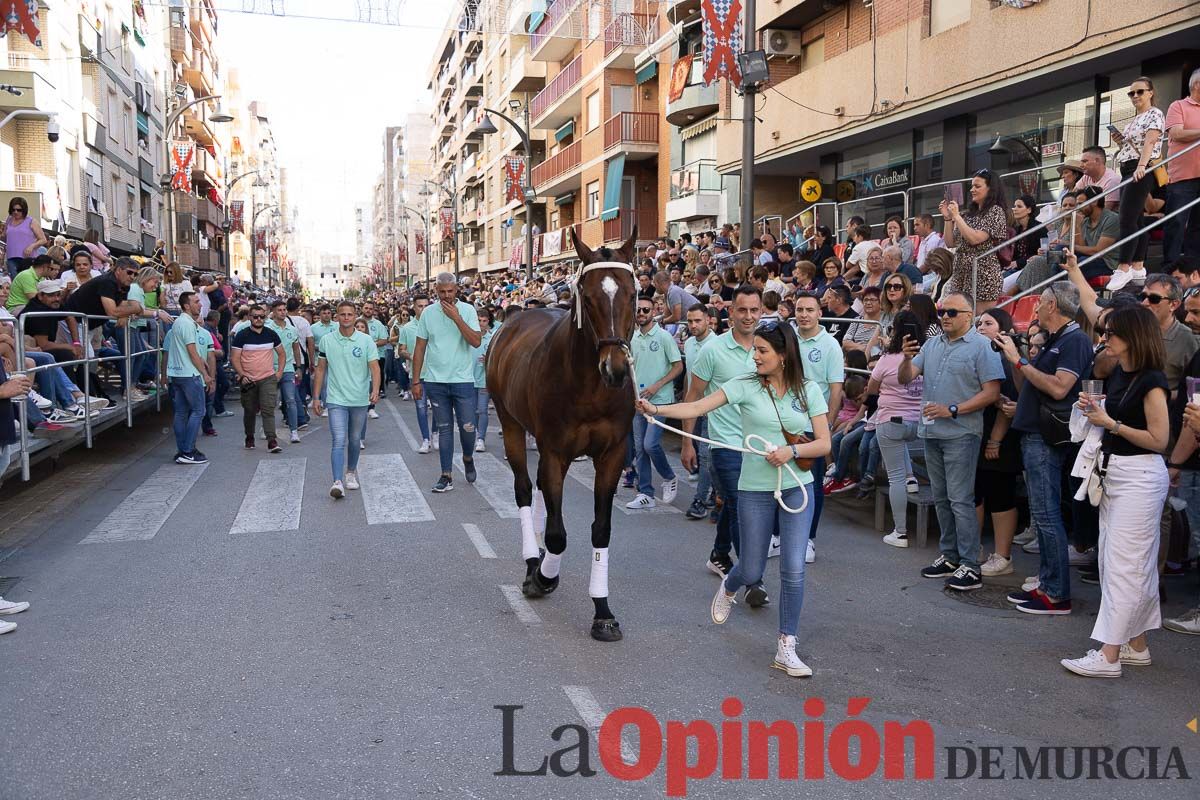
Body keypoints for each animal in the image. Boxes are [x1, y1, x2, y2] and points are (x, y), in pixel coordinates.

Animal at [484, 227, 643, 642]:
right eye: (587, 297)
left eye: (632, 294)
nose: (615, 368)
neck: (589, 386)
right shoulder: (554, 450)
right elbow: (557, 534)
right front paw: (542, 576)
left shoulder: (612, 454)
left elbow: (601, 530)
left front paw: (602, 610)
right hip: (510, 422)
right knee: (526, 489)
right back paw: (532, 561)